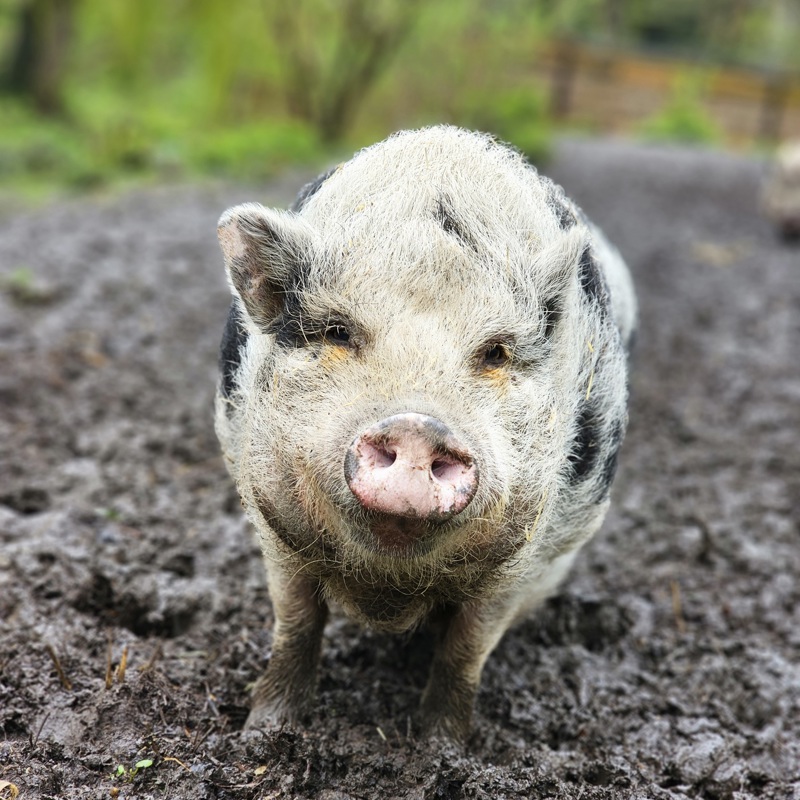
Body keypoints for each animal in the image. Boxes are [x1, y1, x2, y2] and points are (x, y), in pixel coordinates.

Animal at [214, 126, 636, 744]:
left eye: (496, 352)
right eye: (336, 331)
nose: (417, 426)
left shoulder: (522, 557)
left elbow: (466, 651)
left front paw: (442, 748)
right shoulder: (274, 520)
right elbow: (295, 625)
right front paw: (262, 733)